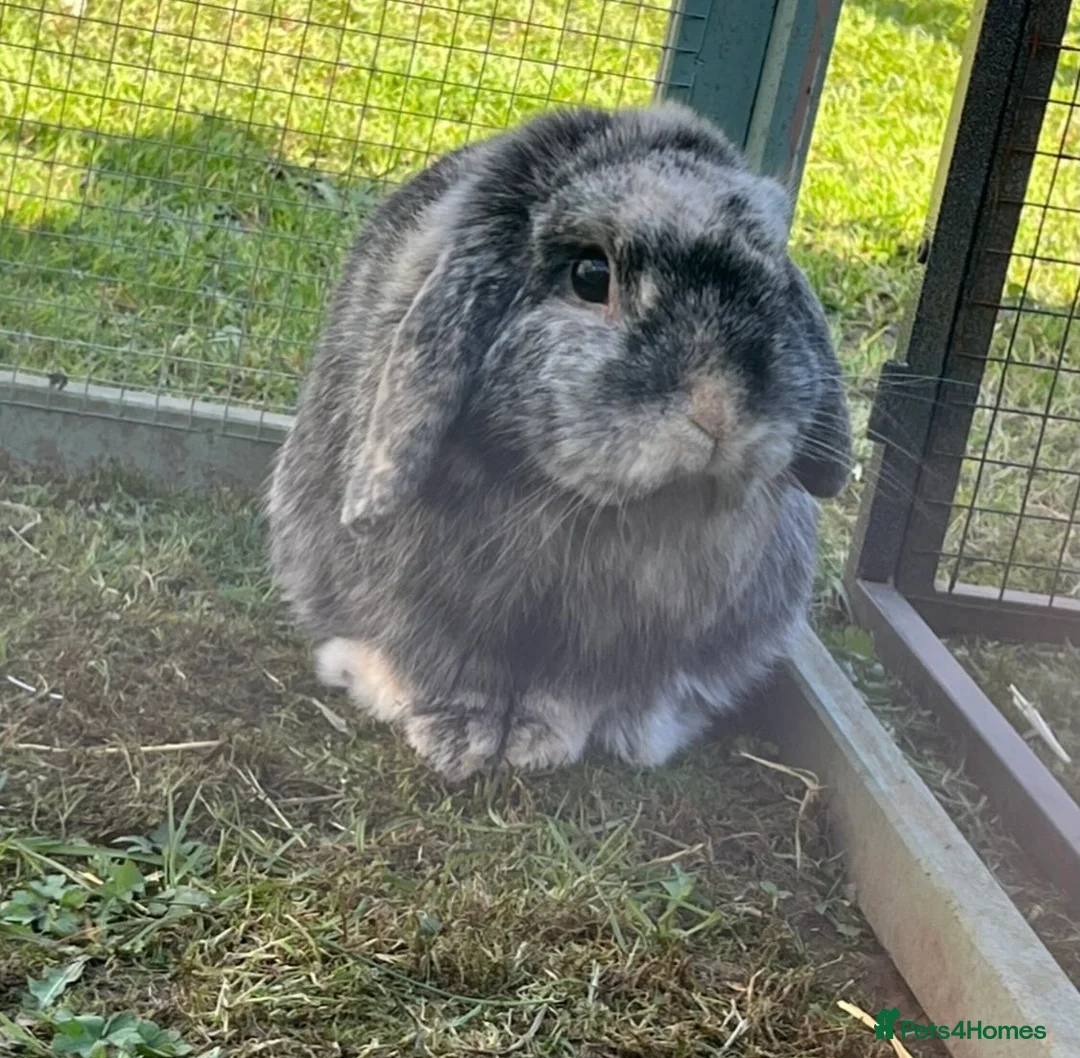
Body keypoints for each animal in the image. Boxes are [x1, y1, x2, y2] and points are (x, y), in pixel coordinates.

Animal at [266, 100, 852, 783]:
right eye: (591, 276)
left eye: (774, 277)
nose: (718, 408)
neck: (575, 503)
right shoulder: (427, 603)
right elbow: (448, 668)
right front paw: (458, 741)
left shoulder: (616, 638)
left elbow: (572, 693)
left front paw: (538, 744)